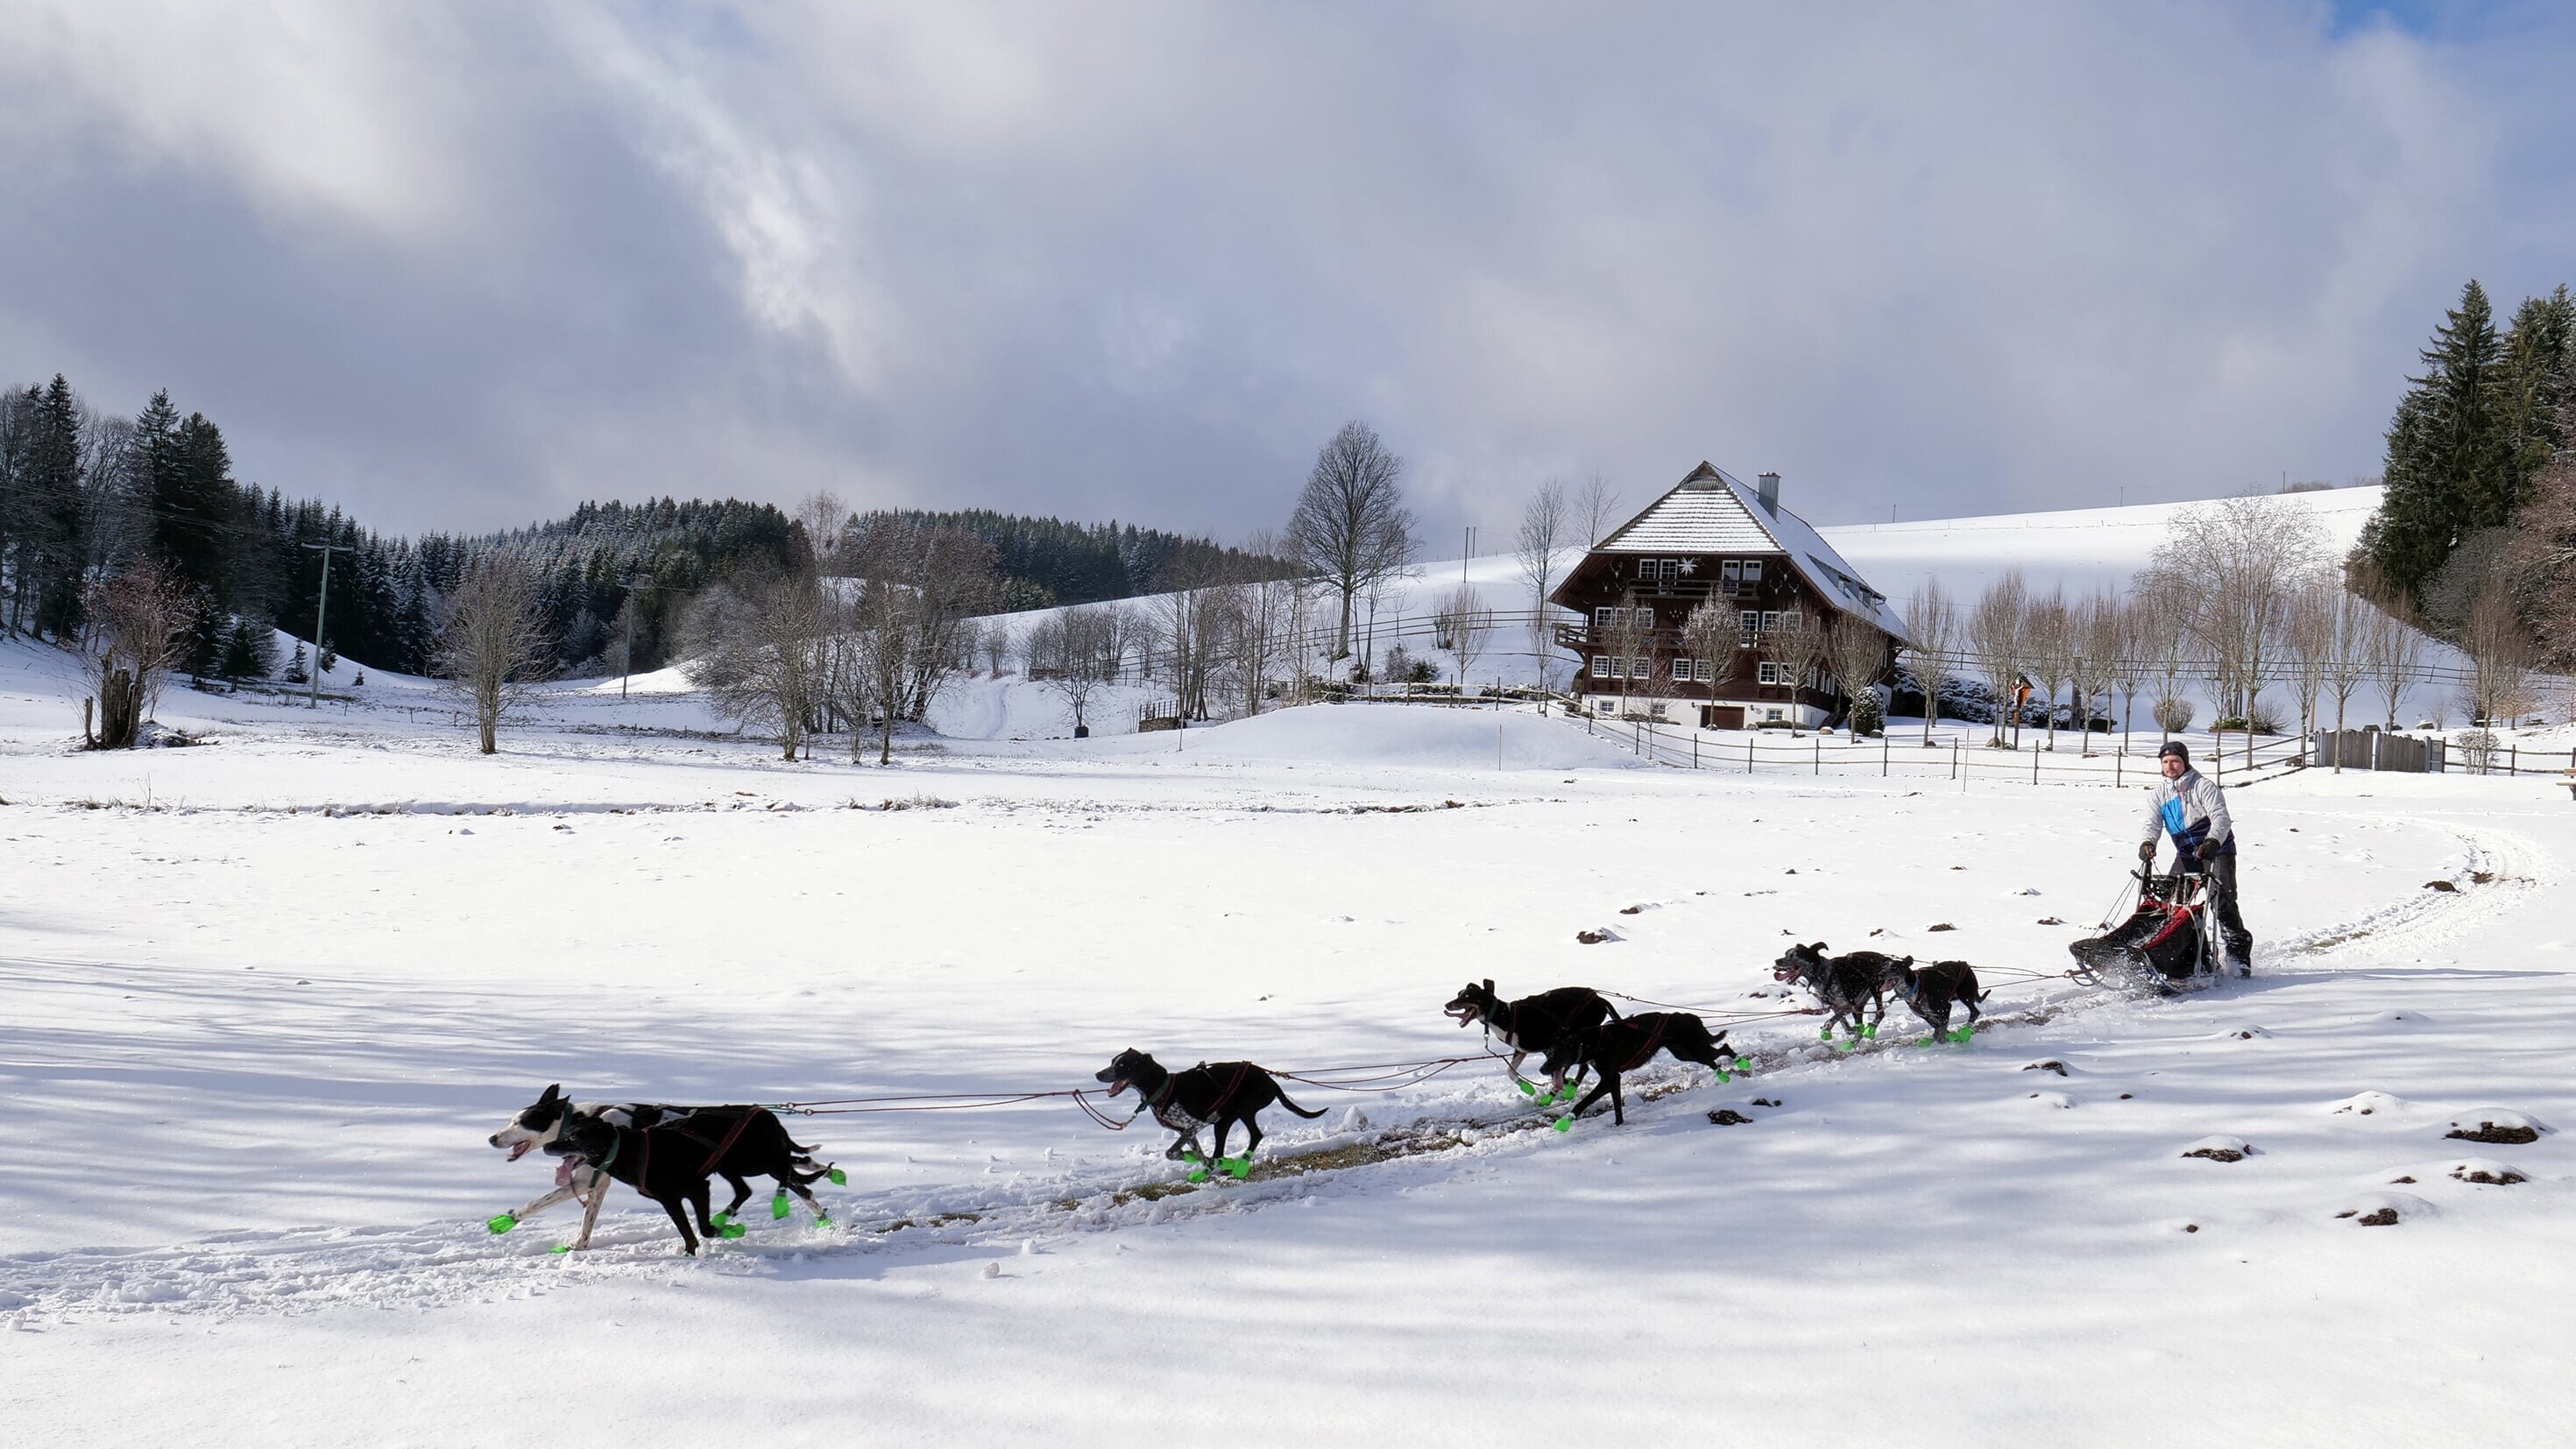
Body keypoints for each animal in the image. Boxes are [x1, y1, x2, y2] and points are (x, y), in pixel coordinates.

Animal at [1092, 1055, 1319, 1178]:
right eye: (1112, 1061)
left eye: (1123, 1065)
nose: (1098, 1074)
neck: (1162, 1089)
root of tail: (1271, 1080)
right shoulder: (1187, 1131)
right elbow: (1198, 1154)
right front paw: (1197, 1160)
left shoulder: (1196, 1124)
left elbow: (1171, 1152)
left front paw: (1188, 1157)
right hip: (1224, 1121)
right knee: (1219, 1151)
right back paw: (1217, 1167)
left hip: (1244, 1108)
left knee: (1256, 1135)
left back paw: (1241, 1166)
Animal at [1442, 988, 1617, 1101]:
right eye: (1458, 994)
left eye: (1467, 995)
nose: (1447, 1005)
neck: (1506, 1016)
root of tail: (1600, 999)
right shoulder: (1521, 1050)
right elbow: (1510, 1072)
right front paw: (1527, 1087)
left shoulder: (1549, 1047)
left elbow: (1556, 1073)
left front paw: (1554, 1092)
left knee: (1584, 1066)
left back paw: (1571, 1088)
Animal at [1535, 1014, 1741, 1127]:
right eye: (1548, 1054)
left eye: (1556, 1054)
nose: (1541, 1069)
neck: (1589, 1043)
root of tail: (1691, 1017)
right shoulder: (1613, 1079)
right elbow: (1617, 1106)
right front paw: (1618, 1124)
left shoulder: (1607, 1079)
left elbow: (1582, 1103)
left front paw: (1565, 1123)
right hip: (1685, 1054)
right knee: (1714, 1059)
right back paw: (1724, 1076)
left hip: (1696, 1049)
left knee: (1724, 1049)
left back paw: (1741, 1063)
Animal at [1772, 942, 1895, 1044]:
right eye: (1786, 953)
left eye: (1794, 955)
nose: (1776, 961)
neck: (1824, 974)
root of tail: (1886, 958)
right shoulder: (1835, 1006)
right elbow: (1845, 1025)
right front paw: (1852, 1029)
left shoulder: (1847, 1006)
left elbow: (1831, 1021)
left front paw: (1827, 1029)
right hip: (1860, 1003)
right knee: (1861, 1023)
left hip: (1876, 989)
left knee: (1880, 1014)